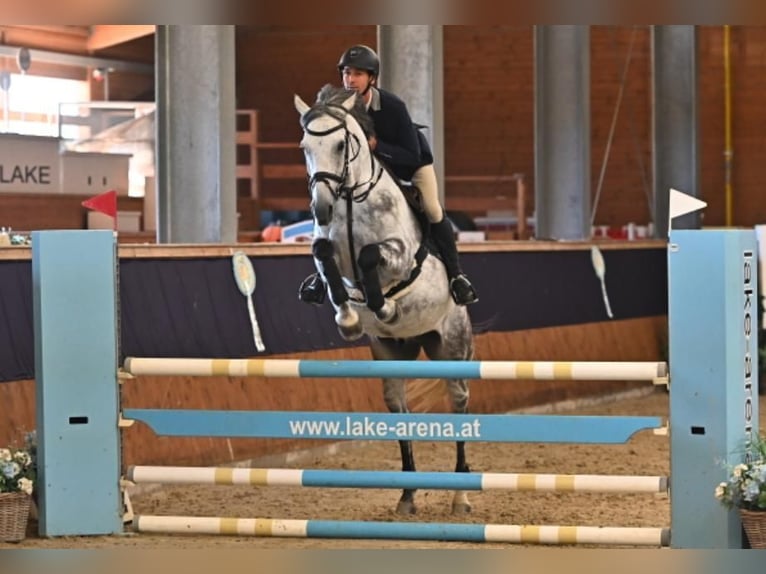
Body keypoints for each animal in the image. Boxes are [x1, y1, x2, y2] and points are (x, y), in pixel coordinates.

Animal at [296, 85, 476, 516]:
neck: (347, 198)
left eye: (341, 144)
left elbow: (370, 256)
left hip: (452, 346)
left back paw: (460, 496)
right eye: (305, 147)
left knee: (460, 403)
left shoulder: (398, 253)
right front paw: (348, 319)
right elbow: (325, 255)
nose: (320, 208)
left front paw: (385, 306)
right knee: (399, 409)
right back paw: (407, 495)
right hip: (393, 352)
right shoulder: (330, 255)